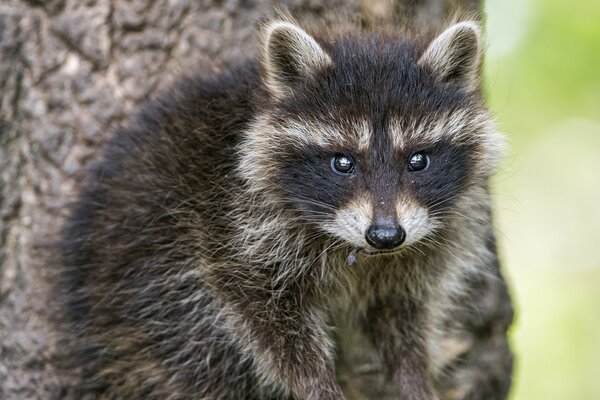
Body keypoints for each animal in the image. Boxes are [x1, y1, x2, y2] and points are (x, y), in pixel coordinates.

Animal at [55, 14, 506, 400]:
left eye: (418, 160)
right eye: (343, 162)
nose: (385, 235)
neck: (357, 249)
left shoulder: (419, 253)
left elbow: (402, 316)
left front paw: (414, 377)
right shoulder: (232, 225)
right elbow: (269, 320)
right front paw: (317, 384)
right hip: (149, 280)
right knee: (196, 350)